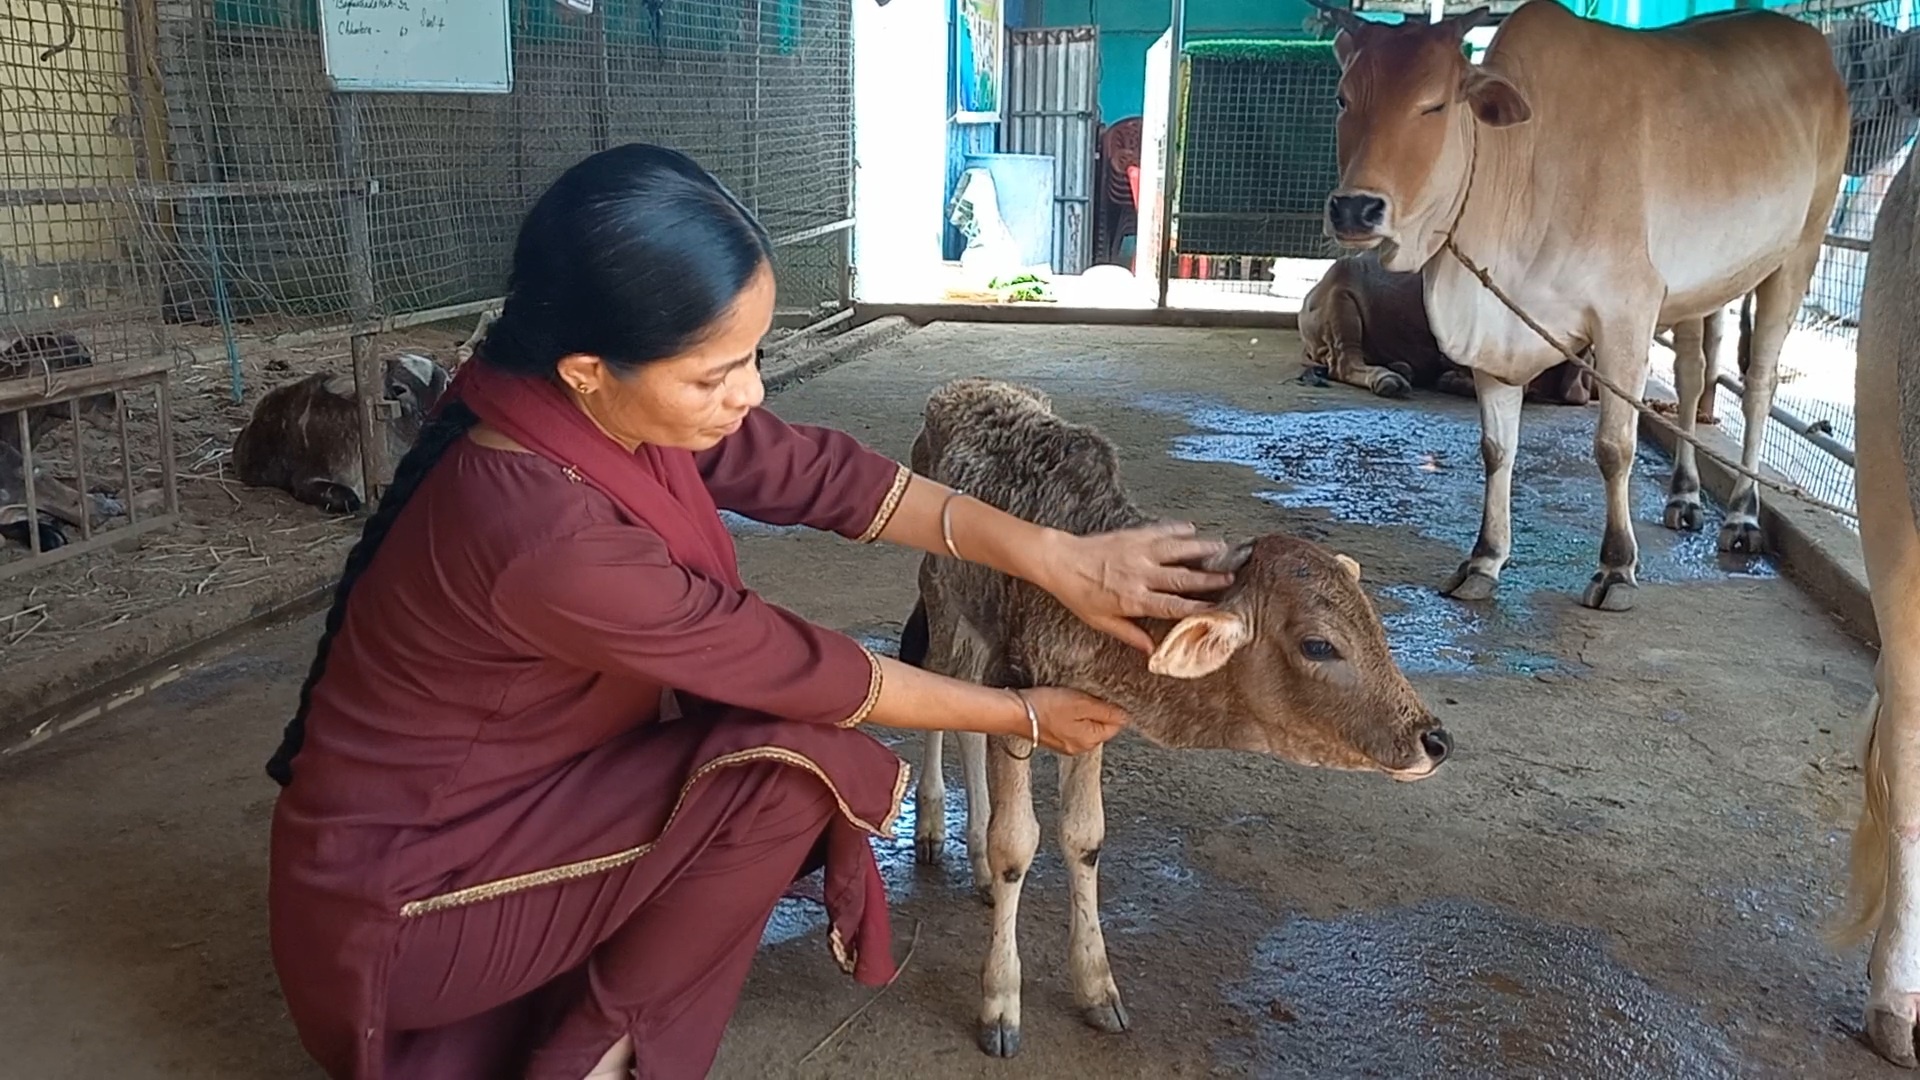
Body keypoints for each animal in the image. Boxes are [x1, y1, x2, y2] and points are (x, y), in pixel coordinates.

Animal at [900, 377, 1450, 1057]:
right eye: (1319, 645)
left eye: (1375, 625)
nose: (1432, 738)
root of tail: (961, 388)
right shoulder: (1019, 683)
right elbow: (1016, 845)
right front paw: (1001, 1004)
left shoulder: (1086, 713)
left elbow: (1084, 837)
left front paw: (1097, 989)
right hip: (942, 594)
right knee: (938, 682)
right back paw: (931, 830)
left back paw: (971, 860)